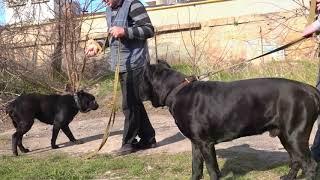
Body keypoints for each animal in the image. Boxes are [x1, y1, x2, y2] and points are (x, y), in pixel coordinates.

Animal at [141, 60, 320, 180]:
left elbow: (213, 170)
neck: (177, 90)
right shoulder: (196, 143)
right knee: (296, 160)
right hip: (286, 135)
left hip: (294, 135)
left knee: (310, 165)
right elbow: (196, 168)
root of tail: (309, 89)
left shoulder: (205, 144)